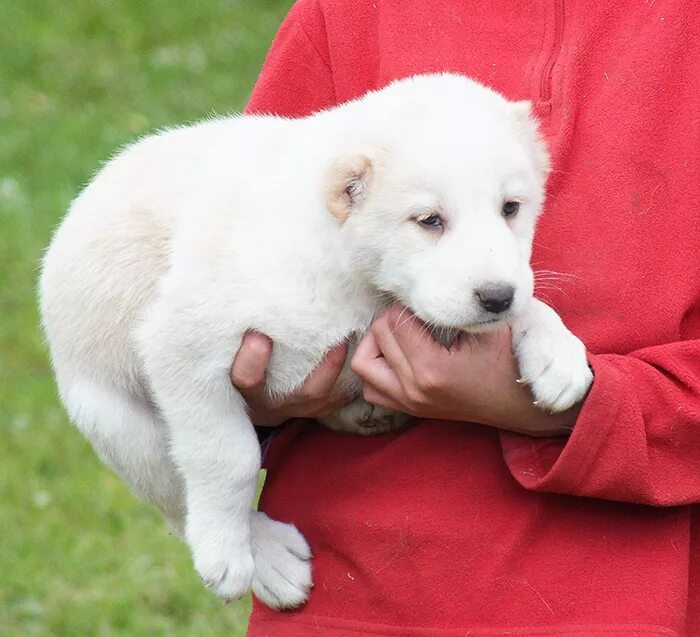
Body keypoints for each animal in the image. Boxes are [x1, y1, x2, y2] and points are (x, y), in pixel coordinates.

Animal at [39, 73, 592, 608]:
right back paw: (265, 556)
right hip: (119, 423)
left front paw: (556, 353)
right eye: (429, 221)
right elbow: (229, 455)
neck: (348, 274)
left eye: (511, 208)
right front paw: (227, 555)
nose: (496, 296)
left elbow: (531, 301)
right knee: (173, 495)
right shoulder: (182, 343)